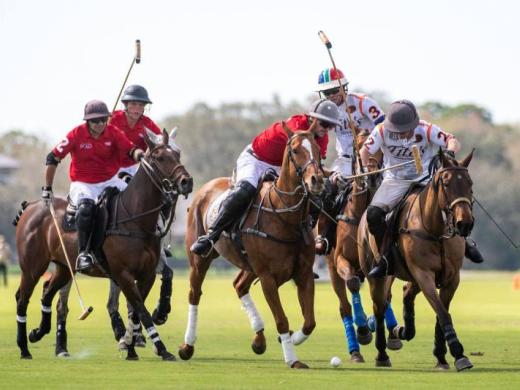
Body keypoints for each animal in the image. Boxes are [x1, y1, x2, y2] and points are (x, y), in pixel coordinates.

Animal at [14, 129, 193, 362]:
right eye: (160, 157)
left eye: (178, 154)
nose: (186, 182)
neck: (135, 218)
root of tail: (31, 206)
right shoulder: (123, 274)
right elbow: (140, 310)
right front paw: (160, 348)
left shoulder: (147, 274)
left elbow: (137, 311)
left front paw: (132, 346)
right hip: (32, 267)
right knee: (24, 299)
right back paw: (25, 348)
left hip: (64, 267)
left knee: (47, 293)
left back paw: (37, 333)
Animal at [181, 125, 322, 368]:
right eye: (295, 150)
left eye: (318, 149)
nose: (316, 180)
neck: (284, 217)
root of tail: (204, 188)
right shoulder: (267, 278)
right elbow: (282, 320)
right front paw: (292, 359)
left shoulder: (303, 274)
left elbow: (309, 322)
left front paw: (290, 340)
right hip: (200, 260)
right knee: (195, 294)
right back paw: (187, 346)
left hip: (248, 264)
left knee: (239, 285)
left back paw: (259, 339)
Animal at [358, 149, 476, 372]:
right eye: (446, 183)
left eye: (470, 183)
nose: (464, 223)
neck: (436, 231)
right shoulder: (424, 274)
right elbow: (442, 313)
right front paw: (459, 353)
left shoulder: (451, 278)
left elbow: (441, 313)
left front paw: (442, 356)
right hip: (376, 275)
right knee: (379, 308)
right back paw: (382, 353)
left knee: (405, 292)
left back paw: (404, 331)